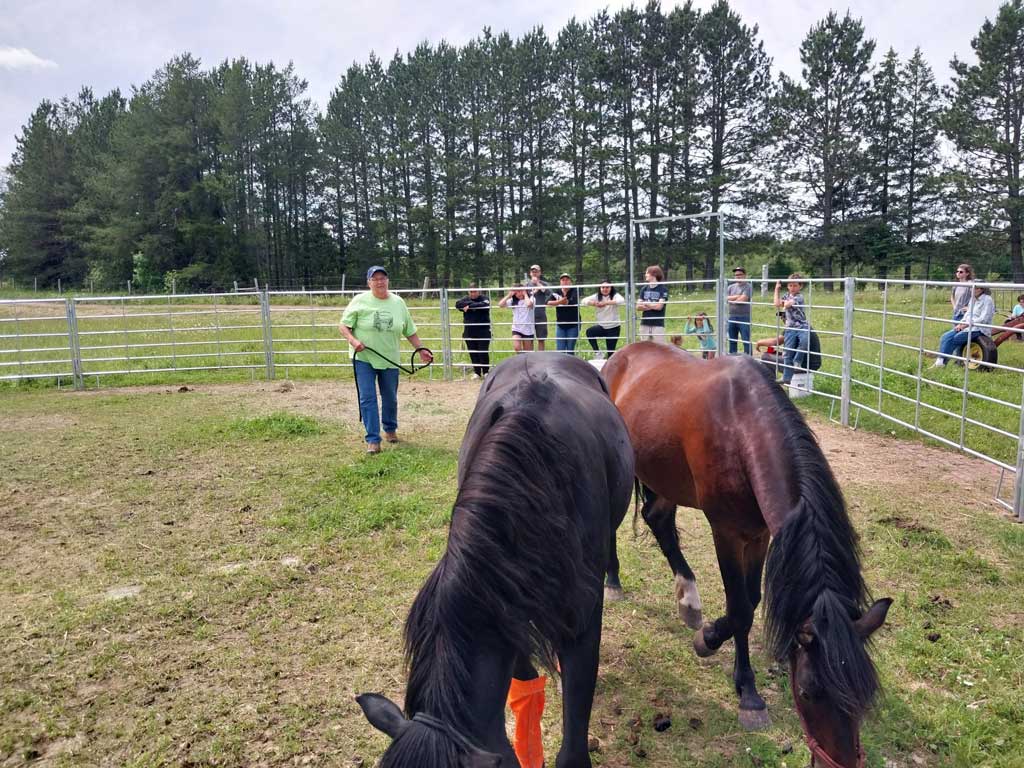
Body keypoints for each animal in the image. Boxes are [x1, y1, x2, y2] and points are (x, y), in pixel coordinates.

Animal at [602, 346, 892, 768]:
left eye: (864, 694)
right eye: (808, 692)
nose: (835, 763)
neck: (741, 430)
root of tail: (618, 358)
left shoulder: (760, 534)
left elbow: (751, 602)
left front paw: (714, 639)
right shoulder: (726, 532)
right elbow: (739, 608)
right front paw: (743, 686)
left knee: (659, 521)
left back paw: (689, 600)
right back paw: (613, 582)